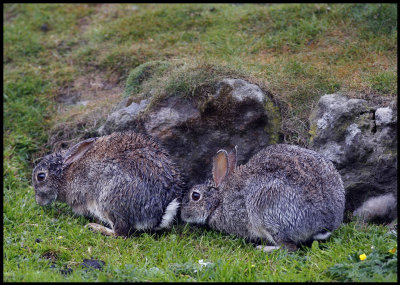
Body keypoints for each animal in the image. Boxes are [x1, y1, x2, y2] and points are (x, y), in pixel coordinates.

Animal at [32, 130, 186, 235]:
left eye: (41, 176)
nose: (38, 202)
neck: (66, 173)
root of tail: (160, 212)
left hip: (109, 199)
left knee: (121, 233)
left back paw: (97, 228)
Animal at [180, 144, 346, 251]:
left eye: (195, 196)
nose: (182, 215)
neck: (219, 199)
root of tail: (325, 223)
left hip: (267, 215)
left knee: (289, 248)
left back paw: (262, 248)